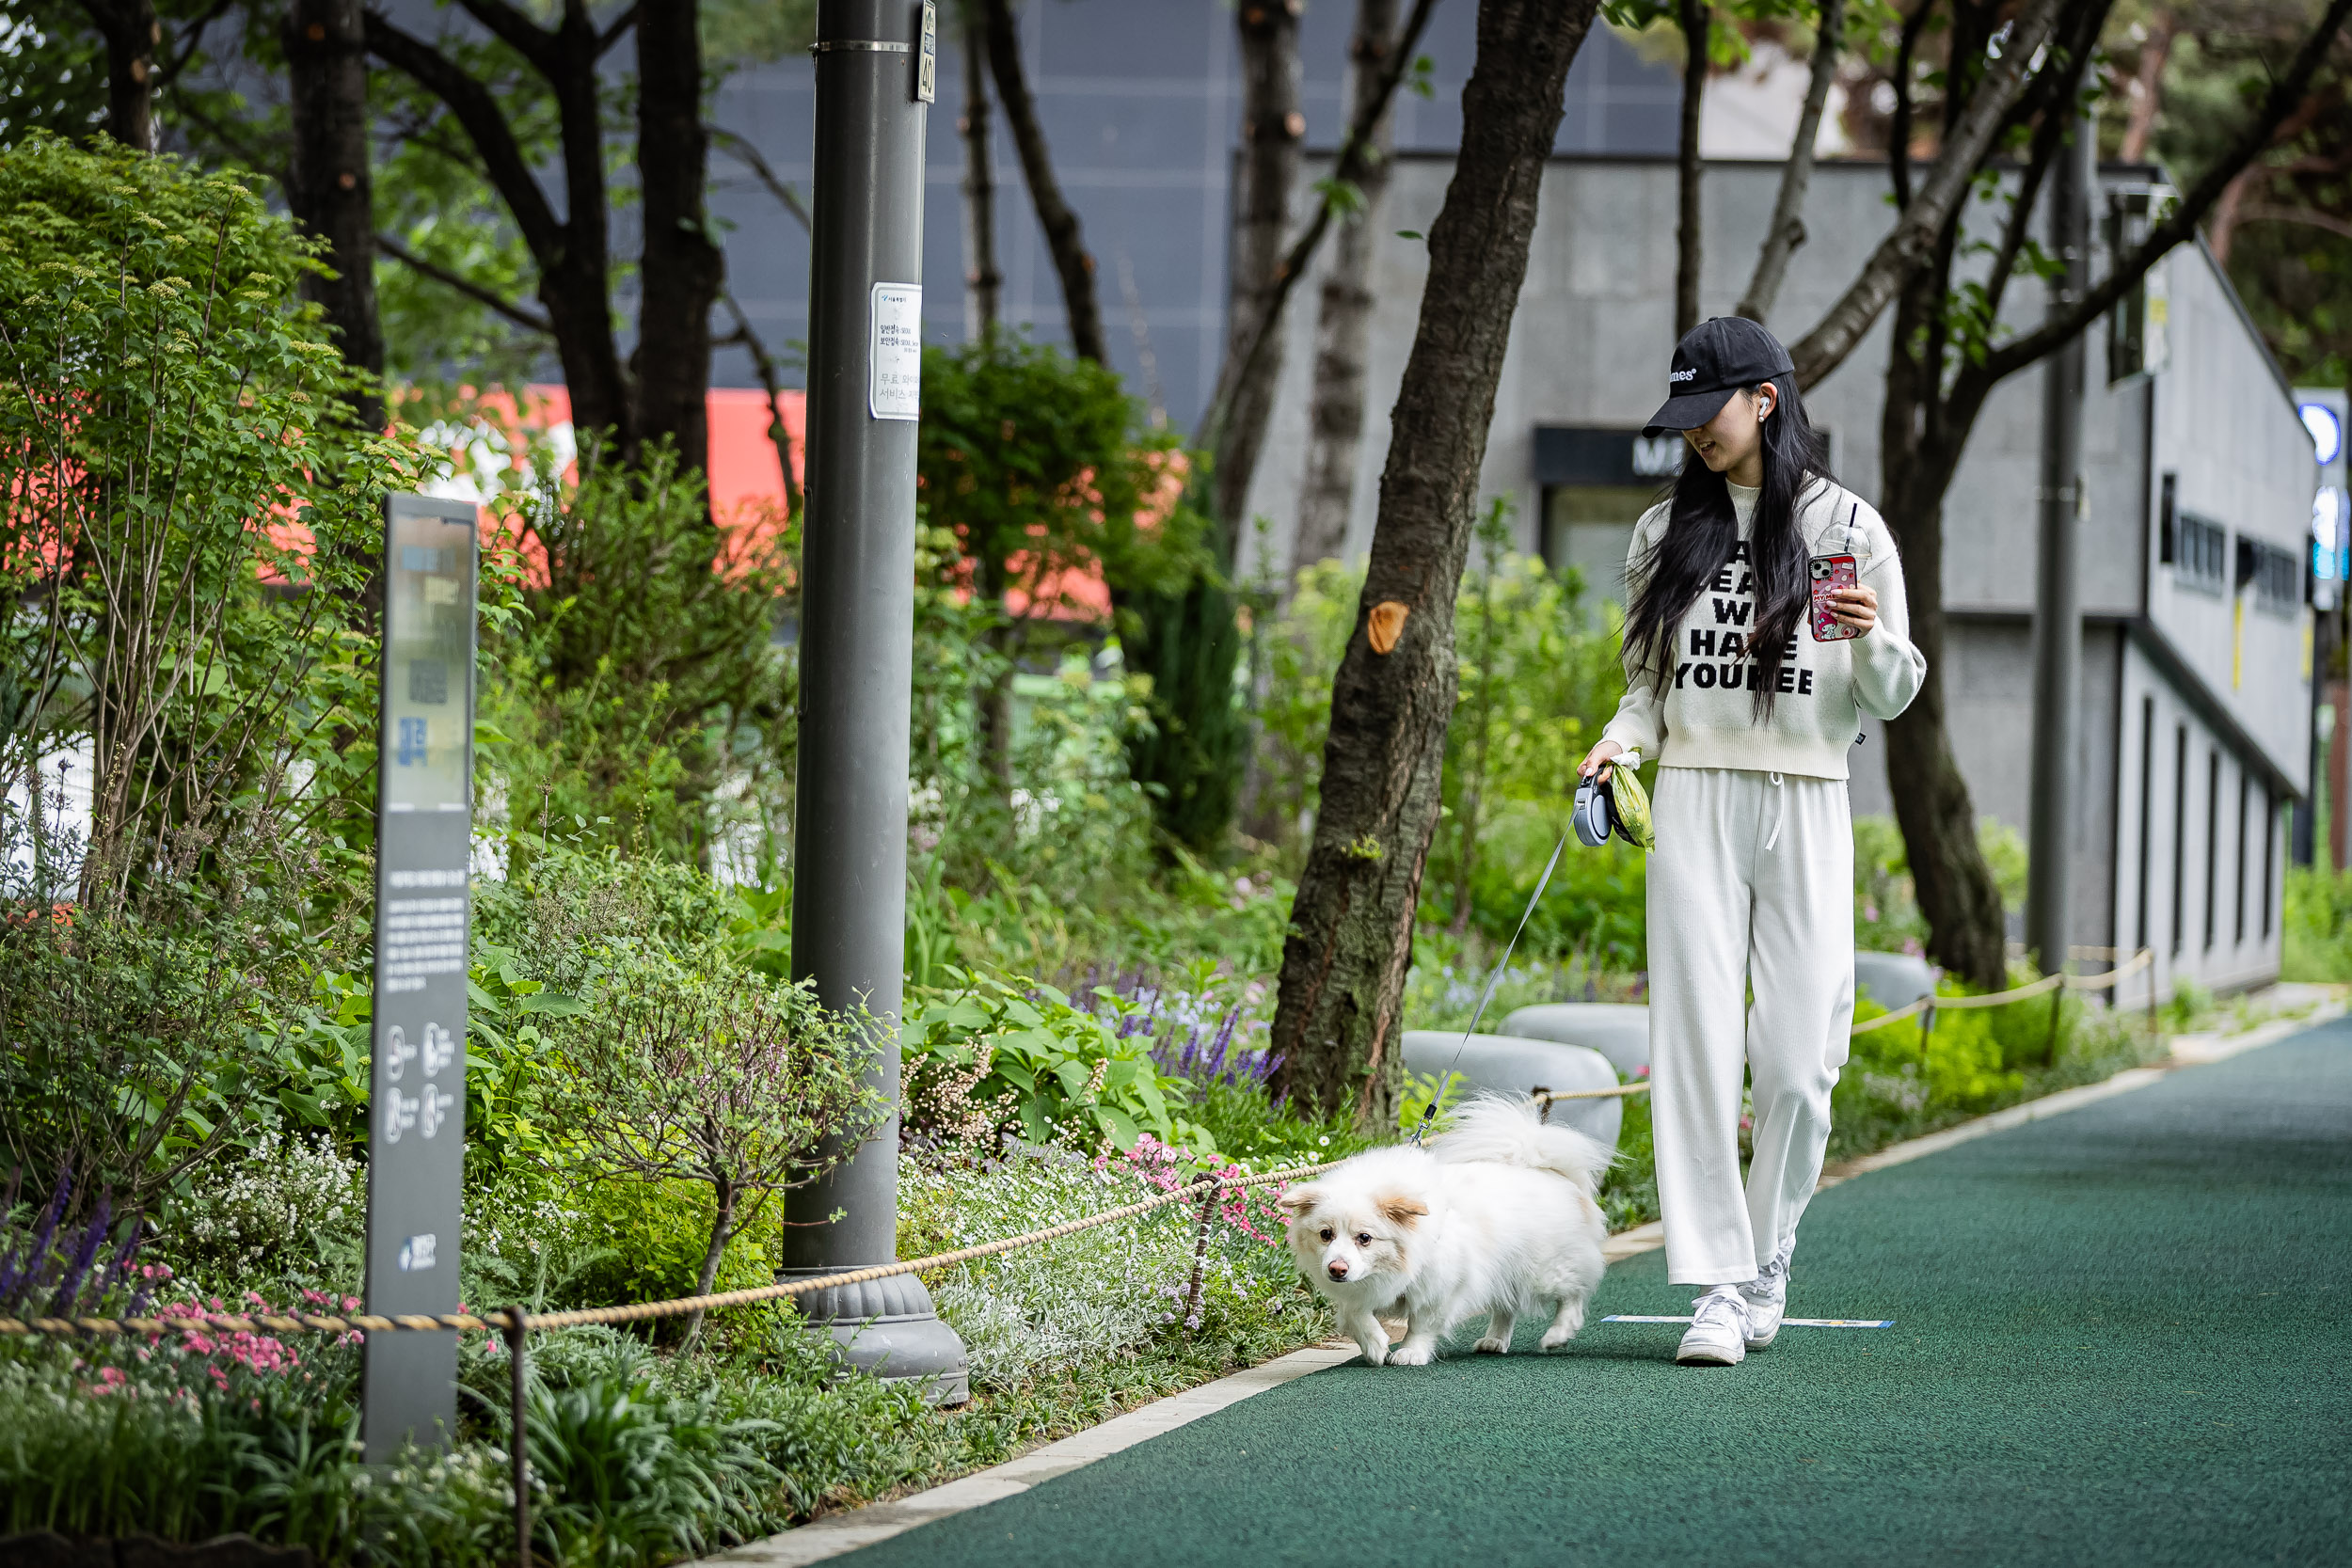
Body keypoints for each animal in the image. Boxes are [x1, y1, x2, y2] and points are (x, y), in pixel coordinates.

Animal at [1279, 1100, 1609, 1363]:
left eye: (1365, 1238)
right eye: (1326, 1234)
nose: (1336, 1269)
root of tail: (1542, 1168)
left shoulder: (1440, 1287)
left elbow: (1421, 1325)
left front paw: (1409, 1352)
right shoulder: (1359, 1289)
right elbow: (1354, 1313)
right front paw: (1374, 1345)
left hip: (1545, 1272)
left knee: (1573, 1294)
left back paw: (1558, 1334)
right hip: (1504, 1270)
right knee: (1507, 1307)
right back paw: (1495, 1340)